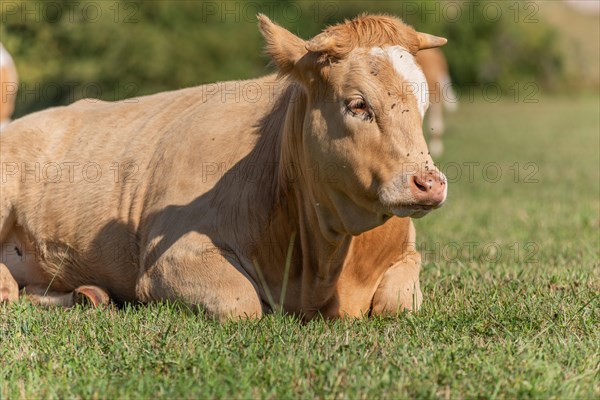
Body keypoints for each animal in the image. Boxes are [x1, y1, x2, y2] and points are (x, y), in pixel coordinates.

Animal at [0, 15, 448, 320]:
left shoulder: (406, 255)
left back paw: (88, 295)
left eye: (424, 102)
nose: (428, 183)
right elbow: (242, 303)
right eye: (358, 104)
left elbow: (398, 303)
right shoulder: (171, 258)